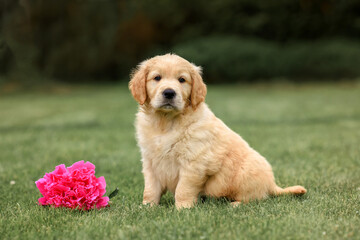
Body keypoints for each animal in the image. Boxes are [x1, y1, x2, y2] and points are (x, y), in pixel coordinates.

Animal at [128, 53, 306, 209]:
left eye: (182, 80)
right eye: (157, 78)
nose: (169, 93)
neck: (166, 122)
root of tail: (272, 184)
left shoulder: (193, 163)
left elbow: (183, 189)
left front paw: (182, 209)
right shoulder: (150, 162)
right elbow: (150, 189)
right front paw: (147, 207)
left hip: (246, 172)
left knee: (255, 198)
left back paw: (235, 204)